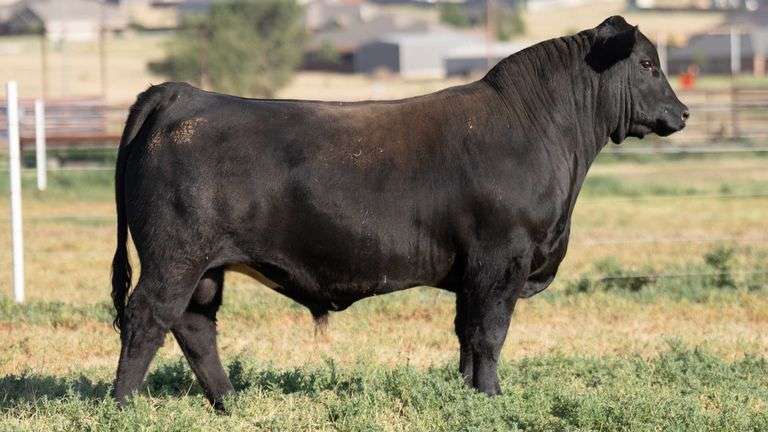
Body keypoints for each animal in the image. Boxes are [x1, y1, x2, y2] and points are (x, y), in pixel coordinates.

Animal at [110, 16, 688, 409]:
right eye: (646, 64)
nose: (682, 112)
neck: (538, 130)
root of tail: (183, 94)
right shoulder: (500, 259)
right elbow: (489, 333)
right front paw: (492, 400)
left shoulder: (474, 273)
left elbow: (466, 335)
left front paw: (467, 394)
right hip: (175, 257)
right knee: (146, 318)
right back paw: (122, 405)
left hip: (204, 269)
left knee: (194, 326)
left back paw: (228, 403)